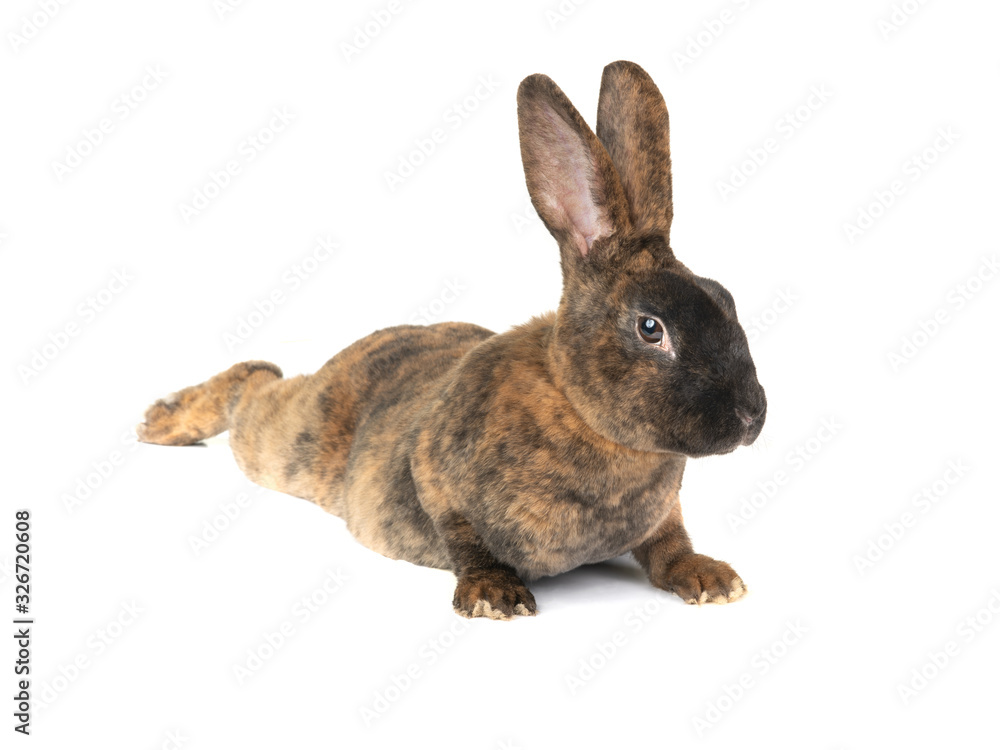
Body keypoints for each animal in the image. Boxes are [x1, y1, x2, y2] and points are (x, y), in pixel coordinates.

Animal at [137, 60, 766, 620]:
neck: (580, 412)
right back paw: (160, 422)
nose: (751, 417)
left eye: (727, 298)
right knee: (255, 382)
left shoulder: (663, 515)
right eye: (650, 328)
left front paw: (713, 581)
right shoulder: (433, 470)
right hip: (285, 444)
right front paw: (495, 597)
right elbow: (464, 536)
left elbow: (669, 546)